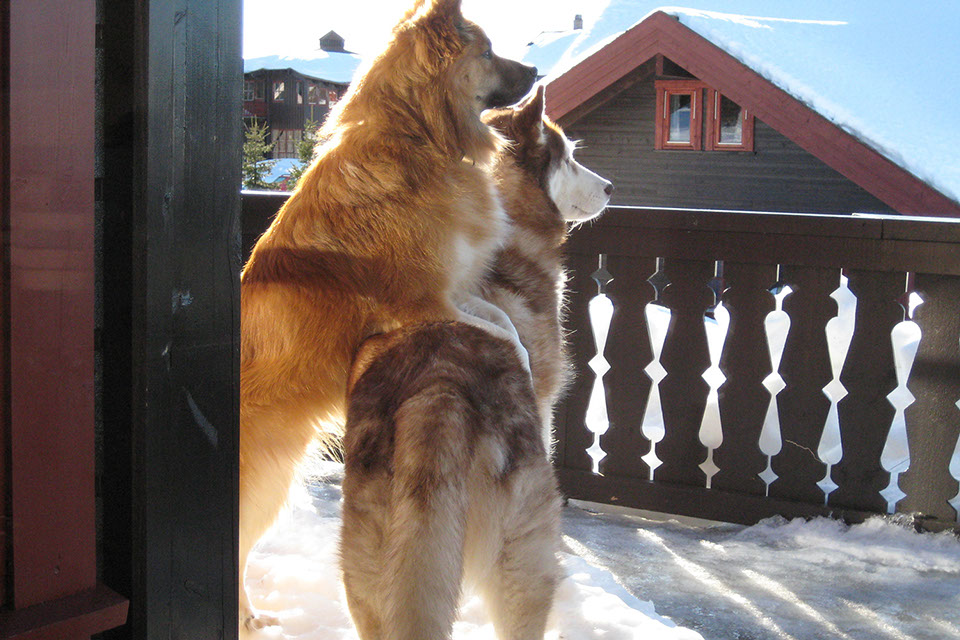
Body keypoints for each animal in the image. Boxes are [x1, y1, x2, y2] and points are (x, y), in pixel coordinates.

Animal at [238, 0, 536, 630]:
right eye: (488, 51)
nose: (537, 69)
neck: (418, 136)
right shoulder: (426, 306)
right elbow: (498, 332)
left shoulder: (455, 289)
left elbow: (510, 329)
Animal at [339, 89, 611, 639]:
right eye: (570, 157)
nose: (611, 188)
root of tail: (440, 385)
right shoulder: (544, 403)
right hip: (521, 560)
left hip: (366, 572)